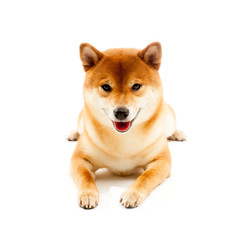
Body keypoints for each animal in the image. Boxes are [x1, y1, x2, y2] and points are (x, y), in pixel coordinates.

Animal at [67, 41, 186, 208]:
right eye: (106, 87)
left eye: (136, 86)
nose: (121, 112)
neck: (123, 140)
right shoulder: (79, 159)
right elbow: (85, 177)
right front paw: (88, 194)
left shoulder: (161, 161)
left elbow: (146, 177)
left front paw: (132, 193)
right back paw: (73, 133)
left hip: (169, 119)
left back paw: (178, 134)